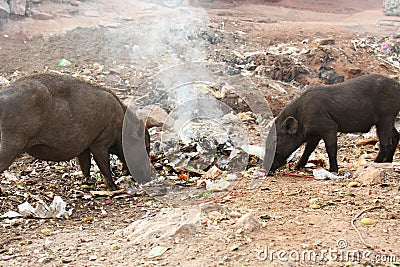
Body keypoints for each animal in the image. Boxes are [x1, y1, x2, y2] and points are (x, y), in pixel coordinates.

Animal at [0, 73, 151, 191]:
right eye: (146, 147)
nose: (148, 178)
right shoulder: (100, 142)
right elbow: (104, 165)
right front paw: (115, 188)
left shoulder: (84, 147)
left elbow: (85, 165)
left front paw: (88, 183)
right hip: (11, 144)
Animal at [262, 73, 400, 174]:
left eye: (276, 140)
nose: (265, 168)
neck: (301, 116)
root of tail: (397, 85)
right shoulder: (315, 134)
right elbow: (308, 149)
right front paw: (297, 167)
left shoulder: (329, 127)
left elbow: (331, 148)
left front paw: (333, 170)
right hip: (388, 119)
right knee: (396, 136)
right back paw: (388, 161)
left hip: (385, 117)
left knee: (386, 143)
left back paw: (376, 162)